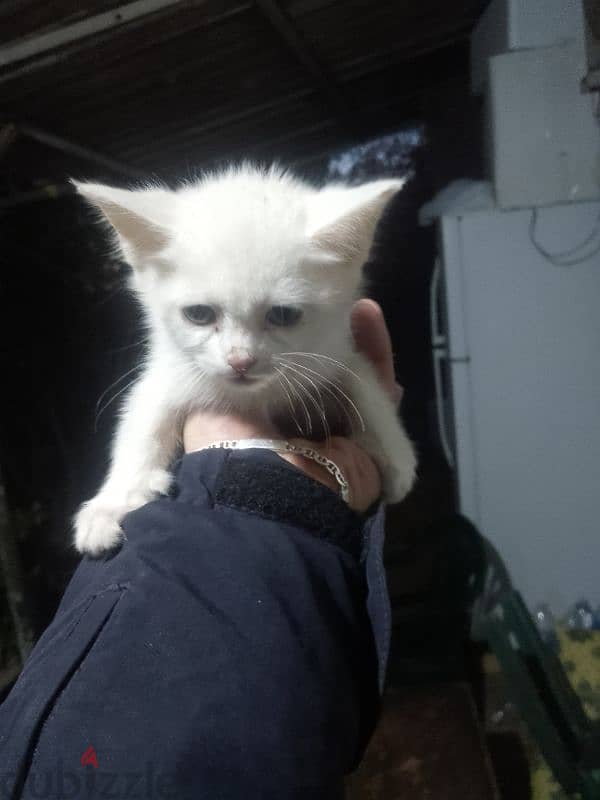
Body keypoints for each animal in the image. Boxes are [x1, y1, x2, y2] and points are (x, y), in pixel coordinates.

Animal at [72, 167, 414, 556]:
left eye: (282, 315)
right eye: (199, 314)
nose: (240, 361)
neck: (255, 397)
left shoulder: (333, 351)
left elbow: (362, 382)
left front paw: (397, 455)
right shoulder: (171, 371)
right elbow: (142, 420)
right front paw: (113, 501)